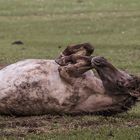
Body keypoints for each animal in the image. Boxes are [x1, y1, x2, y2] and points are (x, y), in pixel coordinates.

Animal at [0, 43, 139, 116]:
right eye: (128, 74)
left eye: (121, 83)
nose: (101, 60)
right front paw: (65, 57)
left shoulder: (66, 72)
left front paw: (63, 59)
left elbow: (76, 61)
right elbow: (88, 48)